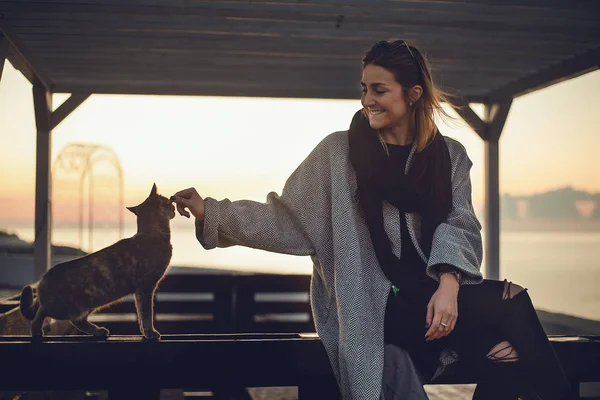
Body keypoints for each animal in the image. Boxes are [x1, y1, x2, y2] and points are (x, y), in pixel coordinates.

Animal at [19, 183, 175, 340]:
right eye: (167, 200)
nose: (173, 205)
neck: (152, 233)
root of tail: (43, 278)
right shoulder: (145, 288)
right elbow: (146, 314)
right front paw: (150, 333)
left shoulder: (140, 291)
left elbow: (141, 314)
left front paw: (144, 332)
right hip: (65, 307)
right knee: (41, 313)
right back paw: (37, 331)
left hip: (91, 303)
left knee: (77, 320)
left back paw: (98, 331)